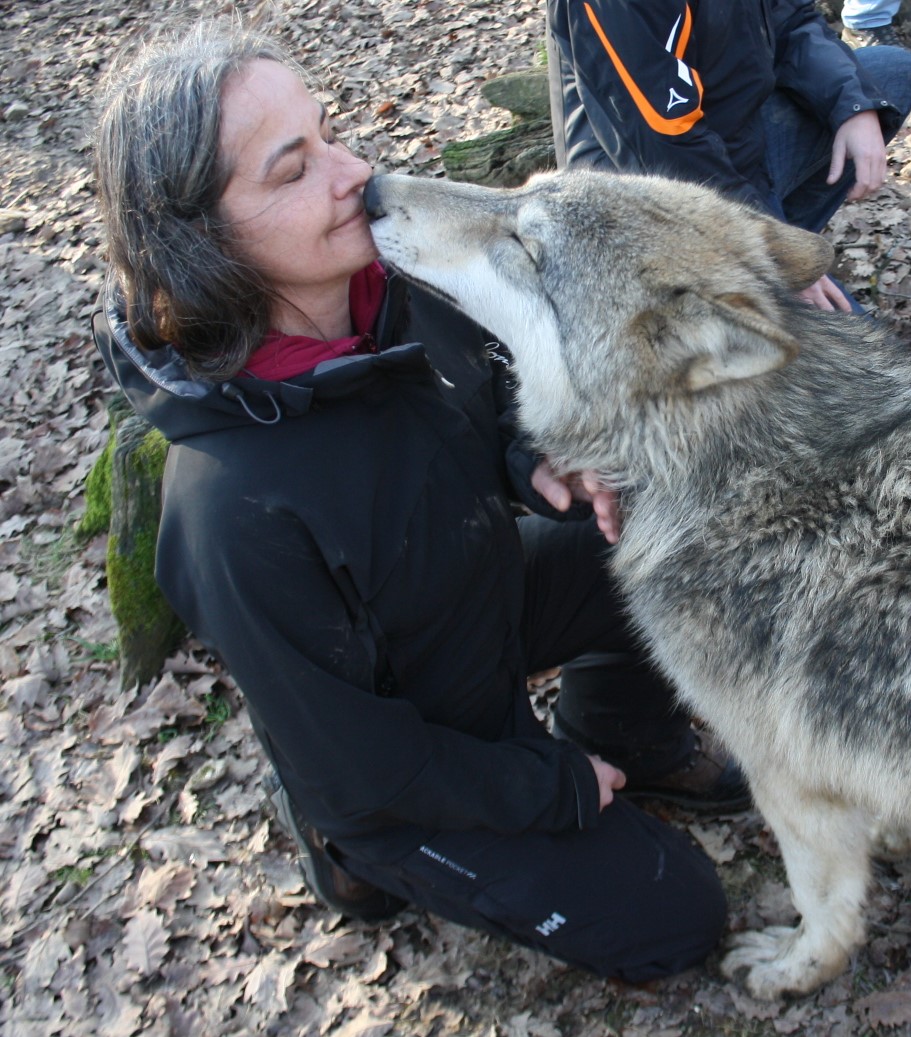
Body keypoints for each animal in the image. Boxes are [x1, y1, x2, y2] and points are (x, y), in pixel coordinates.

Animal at [365, 168, 911, 1000]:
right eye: (520, 189)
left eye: (525, 244)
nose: (368, 186)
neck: (749, 473)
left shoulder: (782, 778)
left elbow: (824, 905)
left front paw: (791, 970)